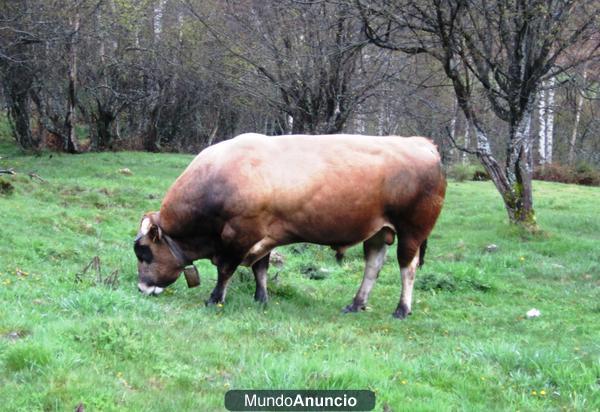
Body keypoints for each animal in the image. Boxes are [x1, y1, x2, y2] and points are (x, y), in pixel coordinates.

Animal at [136, 133, 446, 318]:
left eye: (143, 252)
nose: (141, 288)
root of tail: (421, 143)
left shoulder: (239, 235)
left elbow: (225, 270)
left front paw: (214, 299)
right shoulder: (263, 236)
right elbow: (260, 268)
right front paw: (261, 298)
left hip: (412, 231)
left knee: (407, 268)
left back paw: (402, 309)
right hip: (379, 232)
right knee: (373, 265)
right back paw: (356, 304)